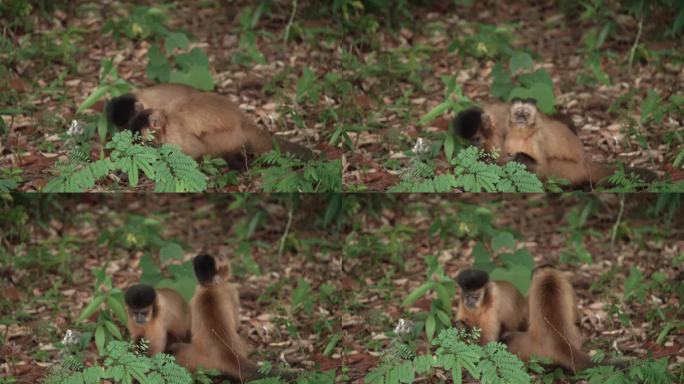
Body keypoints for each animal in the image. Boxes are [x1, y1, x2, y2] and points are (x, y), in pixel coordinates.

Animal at [107, 84, 316, 162]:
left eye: (141, 139)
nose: (136, 145)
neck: (166, 120)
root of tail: (244, 121)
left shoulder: (175, 135)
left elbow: (195, 150)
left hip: (232, 137)